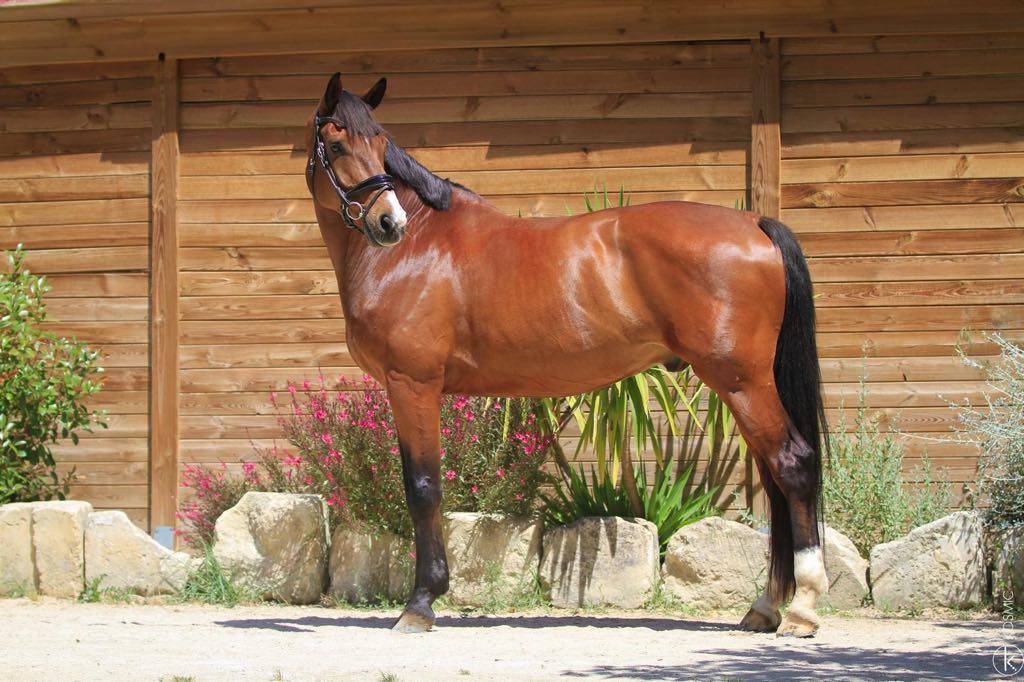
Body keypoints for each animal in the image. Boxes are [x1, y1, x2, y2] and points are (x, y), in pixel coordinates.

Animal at [305, 73, 828, 636]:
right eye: (338, 145)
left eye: (381, 143)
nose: (389, 222)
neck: (418, 247)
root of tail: (755, 224)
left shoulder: (413, 384)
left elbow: (423, 487)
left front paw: (420, 604)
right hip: (744, 388)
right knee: (774, 477)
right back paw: (765, 606)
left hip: (743, 382)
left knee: (793, 465)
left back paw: (801, 608)